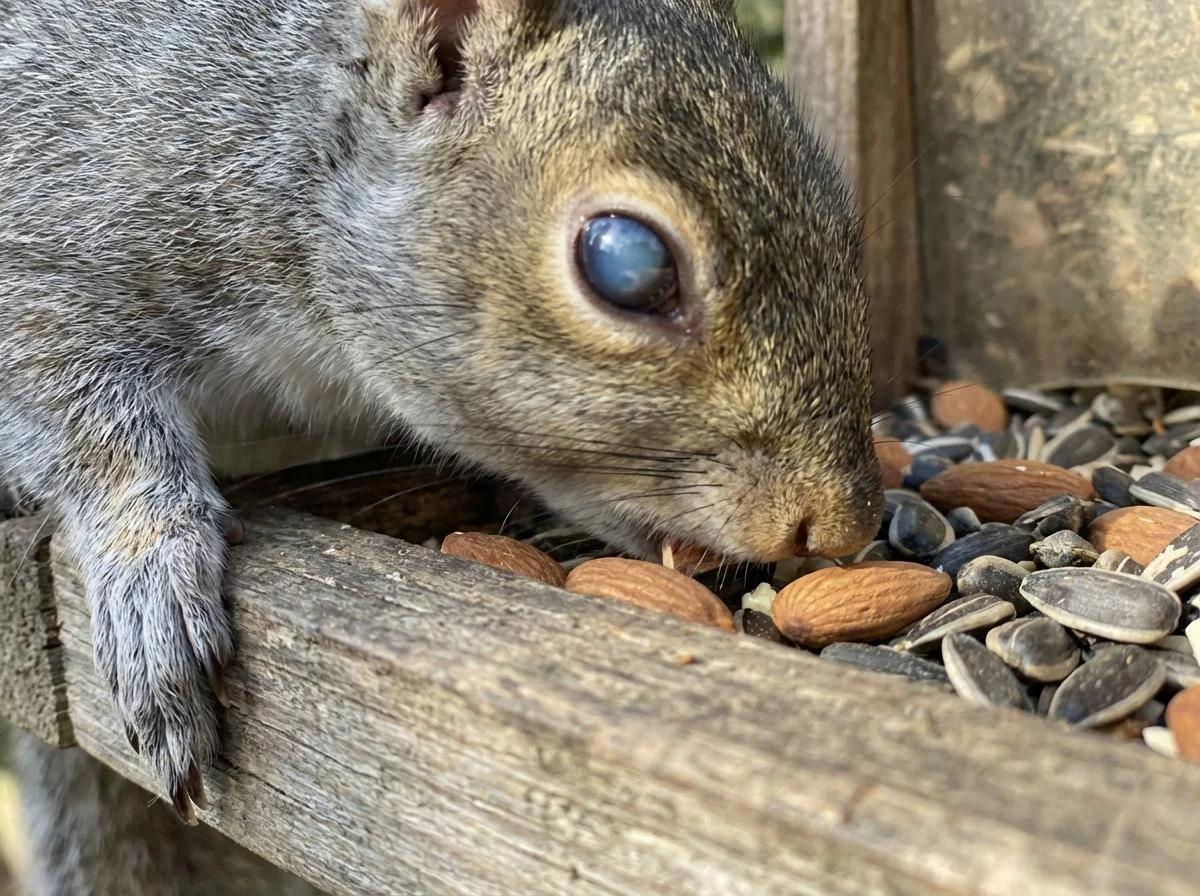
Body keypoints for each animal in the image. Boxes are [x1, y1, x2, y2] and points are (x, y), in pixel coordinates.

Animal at [0, 0, 882, 889]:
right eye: (628, 264)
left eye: (842, 217)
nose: (846, 523)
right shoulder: (62, 210)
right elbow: (74, 409)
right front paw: (153, 569)